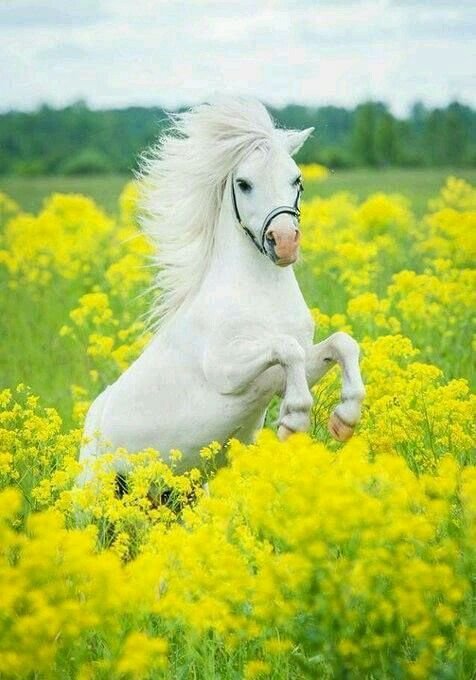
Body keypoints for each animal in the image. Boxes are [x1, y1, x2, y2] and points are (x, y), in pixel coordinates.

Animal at [77, 96, 365, 486]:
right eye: (243, 183)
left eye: (297, 180)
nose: (284, 243)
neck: (262, 294)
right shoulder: (226, 372)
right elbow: (286, 349)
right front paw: (292, 422)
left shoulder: (291, 371)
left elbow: (341, 343)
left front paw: (343, 421)